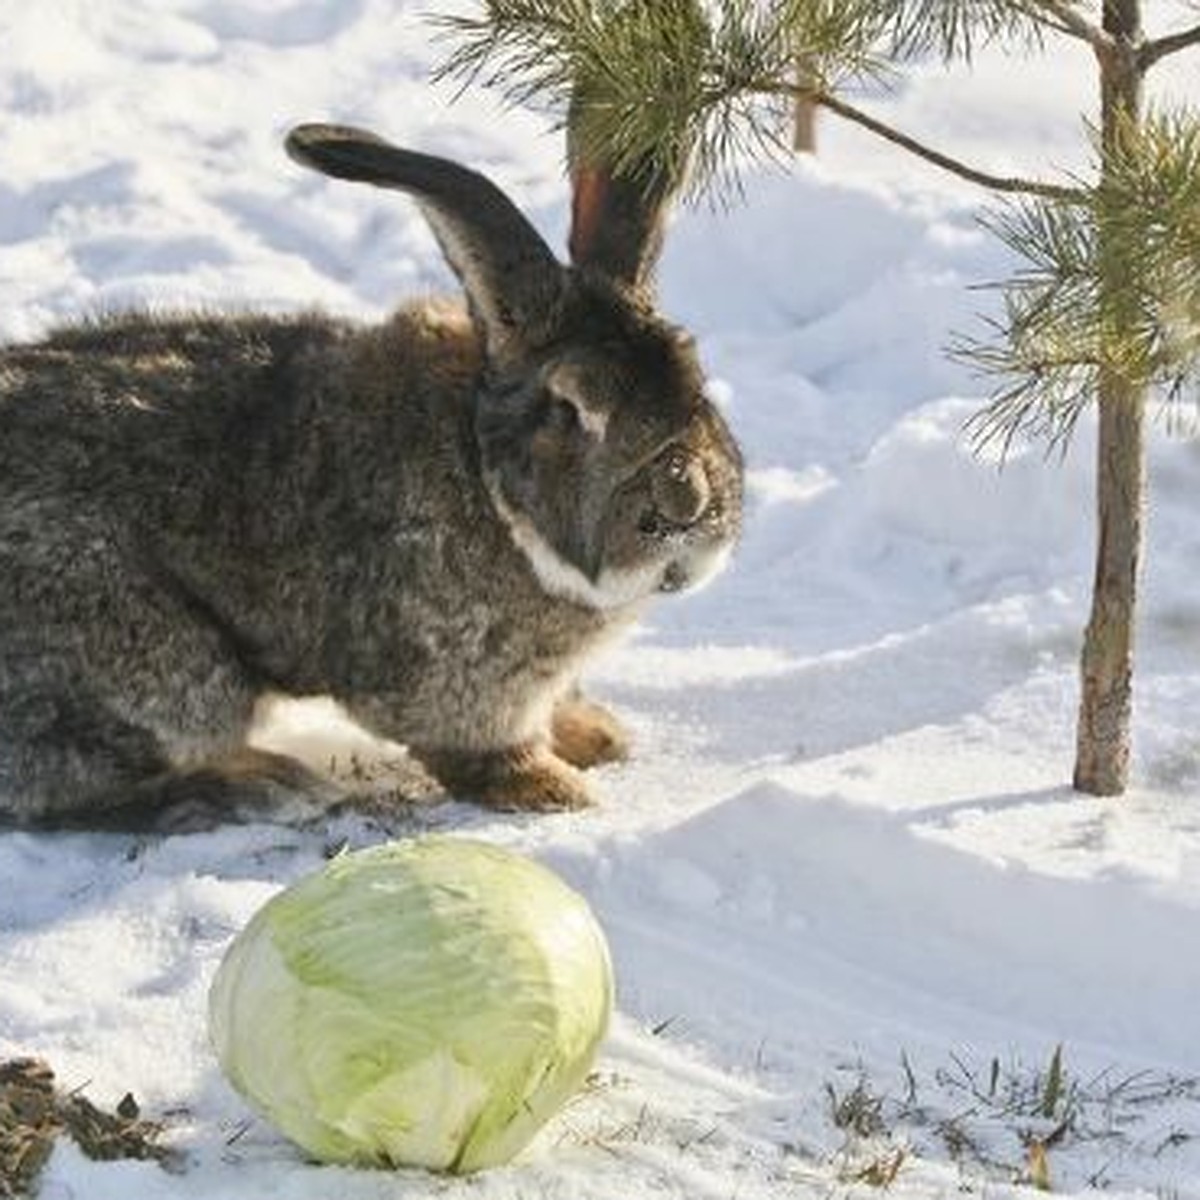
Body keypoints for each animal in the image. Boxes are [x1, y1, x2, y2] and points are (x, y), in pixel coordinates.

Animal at [0, 124, 739, 835]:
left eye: (697, 380)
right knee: (69, 784)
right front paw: (553, 788)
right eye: (570, 407)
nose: (687, 502)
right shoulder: (457, 680)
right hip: (162, 665)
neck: (481, 469)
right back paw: (260, 786)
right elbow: (479, 749)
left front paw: (597, 735)